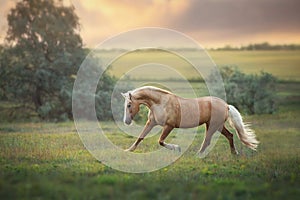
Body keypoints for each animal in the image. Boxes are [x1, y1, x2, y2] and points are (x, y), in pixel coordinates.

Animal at [121, 85, 258, 155]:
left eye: (129, 105)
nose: (126, 122)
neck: (160, 103)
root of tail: (226, 105)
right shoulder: (151, 123)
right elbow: (140, 137)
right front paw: (129, 150)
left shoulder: (169, 126)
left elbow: (160, 141)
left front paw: (177, 148)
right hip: (216, 126)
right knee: (230, 135)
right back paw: (234, 153)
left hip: (213, 126)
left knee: (208, 140)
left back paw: (198, 155)